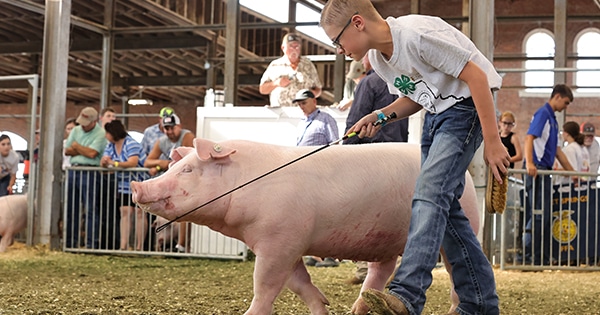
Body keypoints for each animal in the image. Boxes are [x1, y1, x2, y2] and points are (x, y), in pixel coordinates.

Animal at [130, 139, 478, 315]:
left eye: (188, 169)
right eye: (174, 165)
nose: (136, 186)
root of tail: (470, 175)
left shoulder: (279, 240)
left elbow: (266, 284)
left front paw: (251, 313)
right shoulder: (289, 242)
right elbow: (297, 283)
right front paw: (322, 306)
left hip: (464, 221)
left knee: (455, 272)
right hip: (382, 237)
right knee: (381, 270)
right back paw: (358, 309)